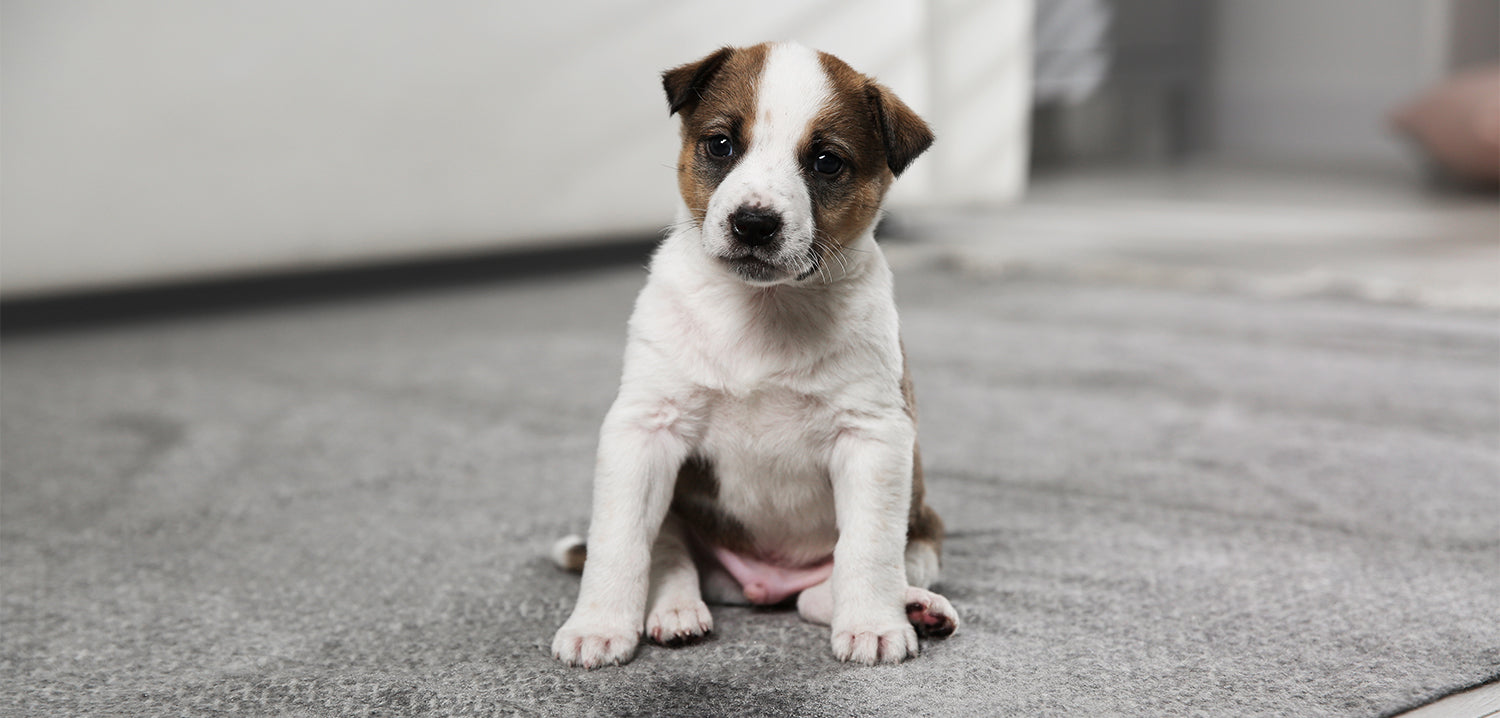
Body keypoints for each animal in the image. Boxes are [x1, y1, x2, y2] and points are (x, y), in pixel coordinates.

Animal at [555, 40, 960, 668]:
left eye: (826, 162)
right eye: (721, 145)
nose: (753, 223)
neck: (762, 309)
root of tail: (763, 583)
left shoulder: (873, 437)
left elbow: (867, 550)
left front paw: (874, 625)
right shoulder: (643, 429)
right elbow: (619, 544)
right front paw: (597, 627)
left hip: (922, 529)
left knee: (833, 587)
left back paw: (916, 606)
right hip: (676, 508)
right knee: (669, 555)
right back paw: (676, 611)